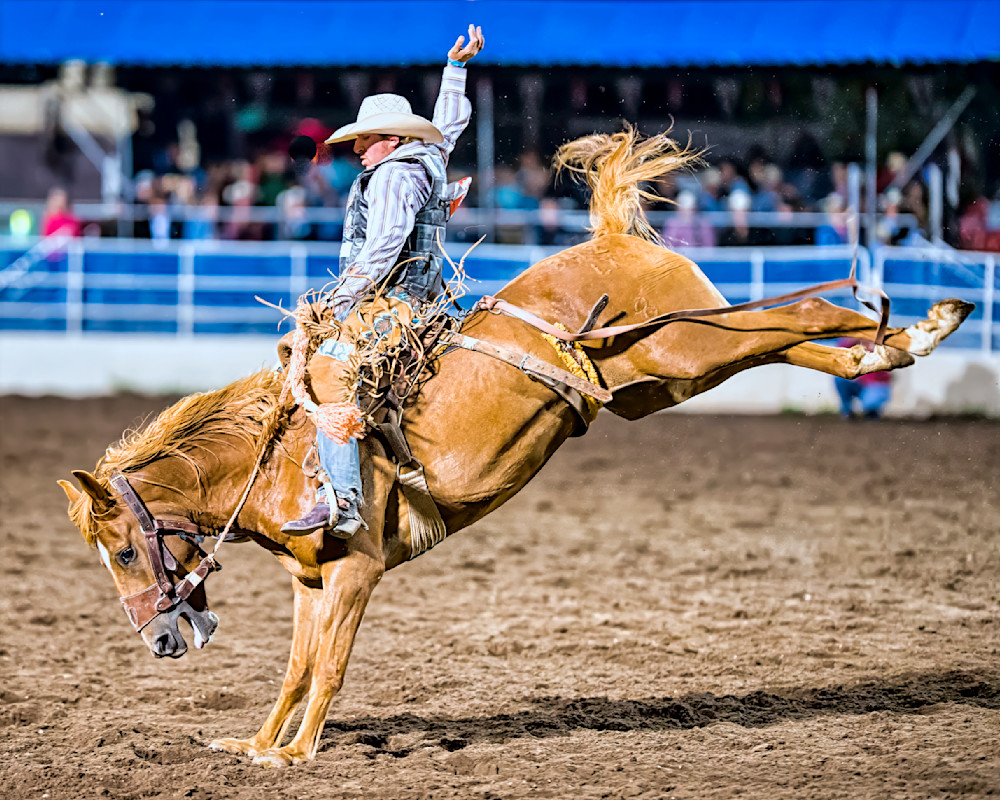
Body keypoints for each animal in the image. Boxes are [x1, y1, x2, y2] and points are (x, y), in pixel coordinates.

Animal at [60, 129, 973, 767]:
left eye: (125, 552)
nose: (160, 643)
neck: (275, 459)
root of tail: (610, 234)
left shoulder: (355, 571)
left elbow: (329, 668)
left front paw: (295, 756)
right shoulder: (310, 581)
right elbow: (294, 668)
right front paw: (256, 745)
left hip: (690, 346)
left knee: (798, 315)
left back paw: (918, 319)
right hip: (668, 373)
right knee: (799, 341)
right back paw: (895, 346)